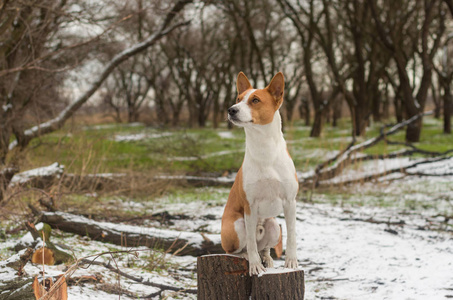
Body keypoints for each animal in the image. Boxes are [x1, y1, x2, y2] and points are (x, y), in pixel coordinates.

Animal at [221, 71, 298, 276]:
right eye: (238, 99)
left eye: (255, 100)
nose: (231, 110)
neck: (265, 151)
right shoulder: (250, 205)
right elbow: (250, 243)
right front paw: (255, 265)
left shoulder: (290, 202)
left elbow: (292, 235)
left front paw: (291, 262)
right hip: (236, 226)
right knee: (237, 249)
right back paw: (247, 257)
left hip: (274, 227)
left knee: (264, 247)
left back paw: (268, 259)